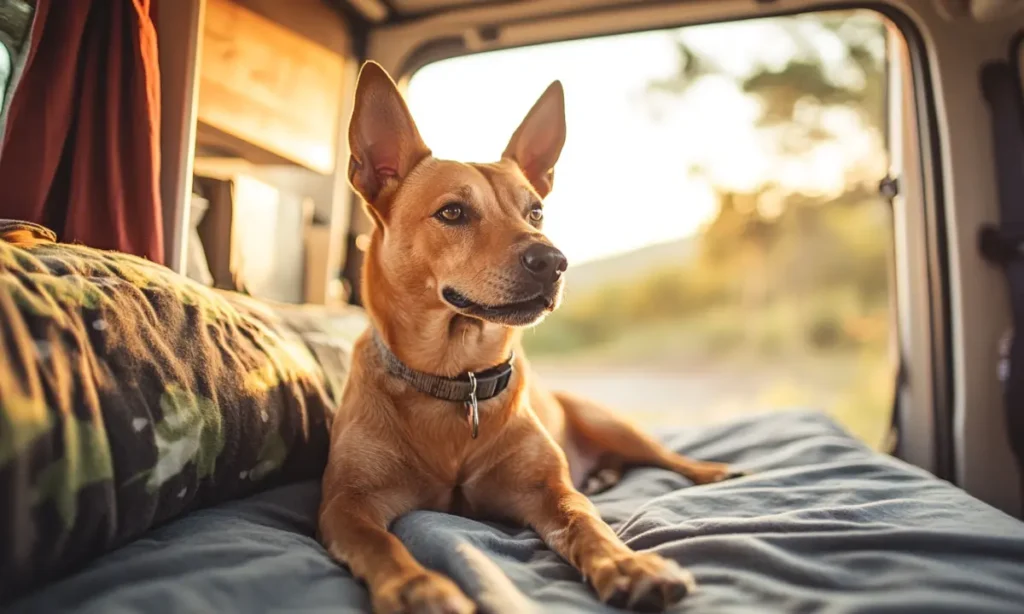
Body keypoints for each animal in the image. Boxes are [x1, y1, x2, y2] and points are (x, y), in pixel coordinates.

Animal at [315, 58, 741, 614]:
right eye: (452, 212)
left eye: (535, 211)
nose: (554, 261)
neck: (460, 380)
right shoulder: (347, 503)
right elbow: (379, 543)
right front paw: (417, 587)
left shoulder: (548, 491)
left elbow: (588, 524)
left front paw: (630, 565)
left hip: (607, 421)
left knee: (664, 456)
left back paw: (709, 471)